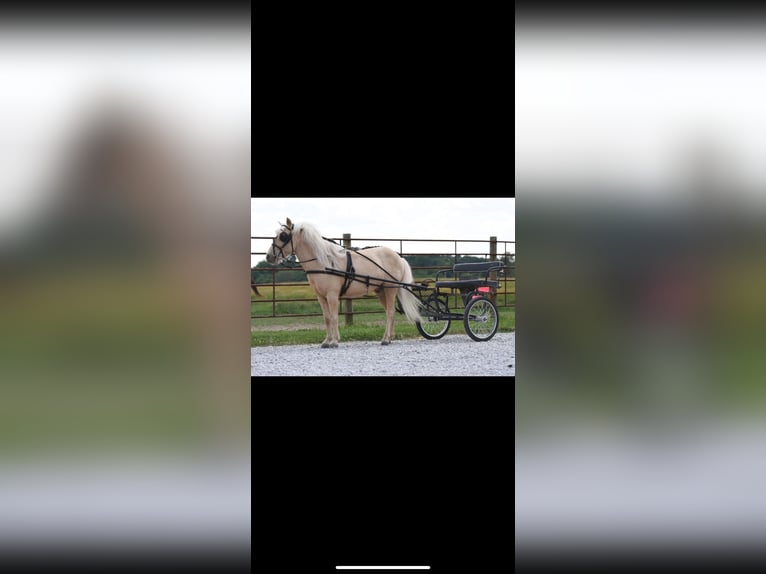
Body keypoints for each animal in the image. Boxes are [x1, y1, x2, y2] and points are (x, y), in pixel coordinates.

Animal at [266, 217, 422, 347]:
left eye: (283, 236)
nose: (268, 257)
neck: (324, 262)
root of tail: (398, 257)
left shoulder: (332, 295)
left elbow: (334, 316)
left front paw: (334, 341)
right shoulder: (321, 297)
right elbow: (327, 317)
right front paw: (326, 341)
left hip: (390, 289)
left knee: (390, 313)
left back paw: (385, 339)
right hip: (381, 291)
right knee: (390, 313)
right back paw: (388, 338)